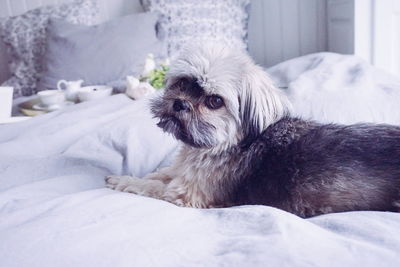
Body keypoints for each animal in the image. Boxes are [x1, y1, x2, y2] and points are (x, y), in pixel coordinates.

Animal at [106, 44, 400, 219]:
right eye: (182, 83)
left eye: (214, 101)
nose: (180, 103)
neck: (224, 144)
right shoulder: (182, 171)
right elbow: (163, 173)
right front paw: (144, 174)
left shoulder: (186, 195)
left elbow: (152, 186)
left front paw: (124, 180)